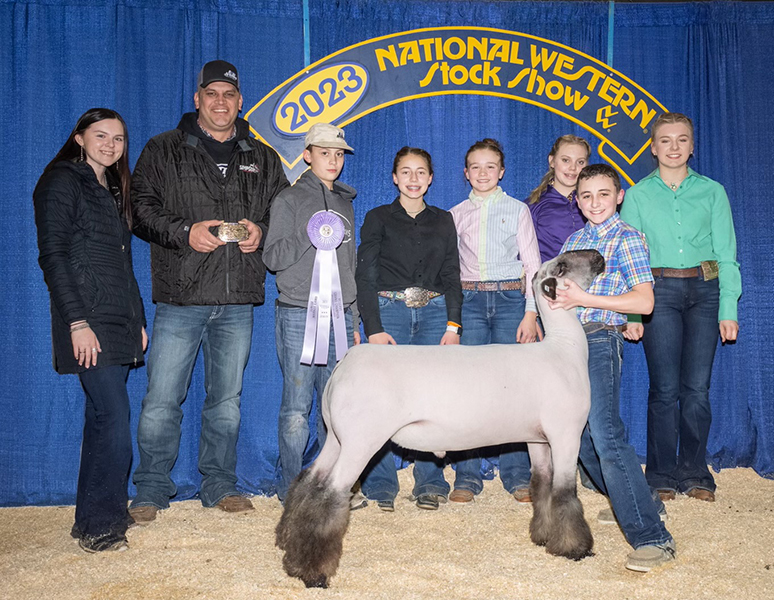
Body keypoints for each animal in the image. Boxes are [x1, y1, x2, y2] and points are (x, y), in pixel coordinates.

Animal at [276, 249, 605, 588]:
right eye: (562, 267)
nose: (597, 256)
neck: (563, 348)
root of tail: (343, 365)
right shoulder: (567, 432)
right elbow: (564, 493)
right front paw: (575, 548)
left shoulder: (538, 439)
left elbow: (541, 485)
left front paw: (542, 537)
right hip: (361, 440)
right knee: (330, 494)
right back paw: (314, 573)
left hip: (336, 437)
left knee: (308, 483)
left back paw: (289, 549)